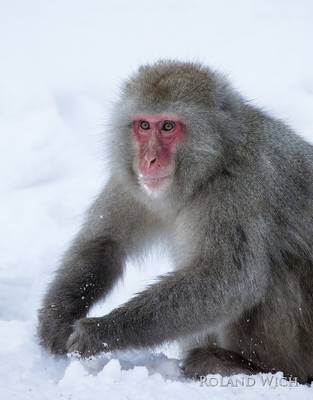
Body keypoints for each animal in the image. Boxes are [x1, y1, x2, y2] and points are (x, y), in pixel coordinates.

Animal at [38, 61, 312, 382]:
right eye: (144, 125)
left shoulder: (239, 188)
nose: (149, 160)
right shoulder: (131, 180)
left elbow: (229, 279)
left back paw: (243, 366)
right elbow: (106, 243)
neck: (214, 164)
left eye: (168, 127)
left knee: (279, 267)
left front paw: (100, 333)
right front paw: (56, 317)